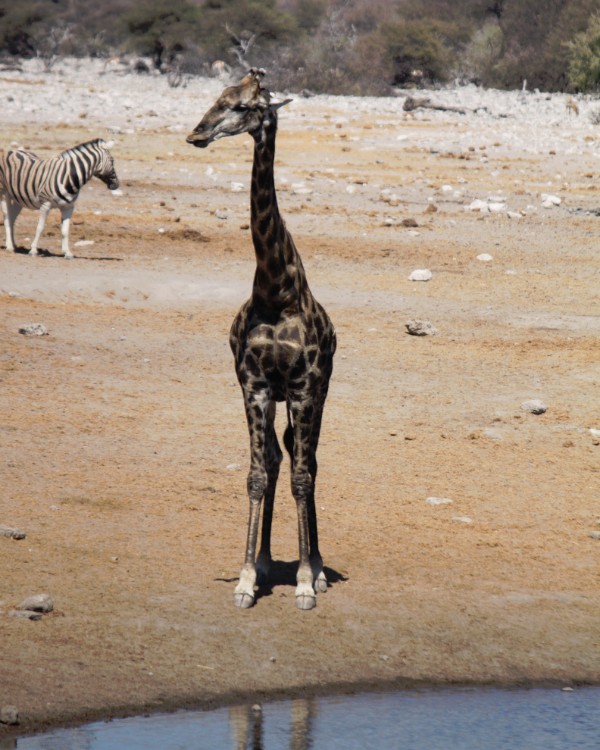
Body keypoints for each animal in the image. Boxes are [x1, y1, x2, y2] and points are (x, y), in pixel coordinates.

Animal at [186, 69, 336, 612]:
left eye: (246, 106)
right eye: (218, 97)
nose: (197, 133)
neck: (275, 289)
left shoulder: (305, 385)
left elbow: (302, 474)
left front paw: (307, 583)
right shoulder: (254, 383)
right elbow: (257, 472)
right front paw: (248, 577)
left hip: (317, 392)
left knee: (306, 461)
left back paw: (316, 565)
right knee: (276, 458)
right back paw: (273, 558)